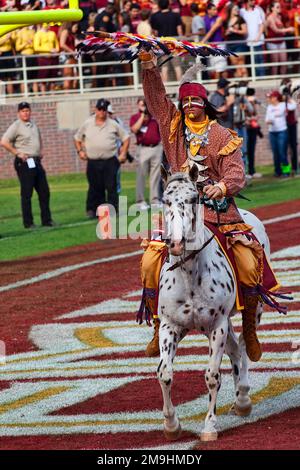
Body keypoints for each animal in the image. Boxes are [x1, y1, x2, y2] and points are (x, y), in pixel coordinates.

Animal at [157, 168, 270, 440]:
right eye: (165, 201)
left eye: (192, 199)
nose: (176, 243)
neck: (189, 274)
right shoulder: (170, 325)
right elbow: (164, 374)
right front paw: (171, 424)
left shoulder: (216, 325)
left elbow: (212, 376)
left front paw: (209, 426)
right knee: (234, 350)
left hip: (253, 310)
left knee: (243, 346)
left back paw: (243, 398)